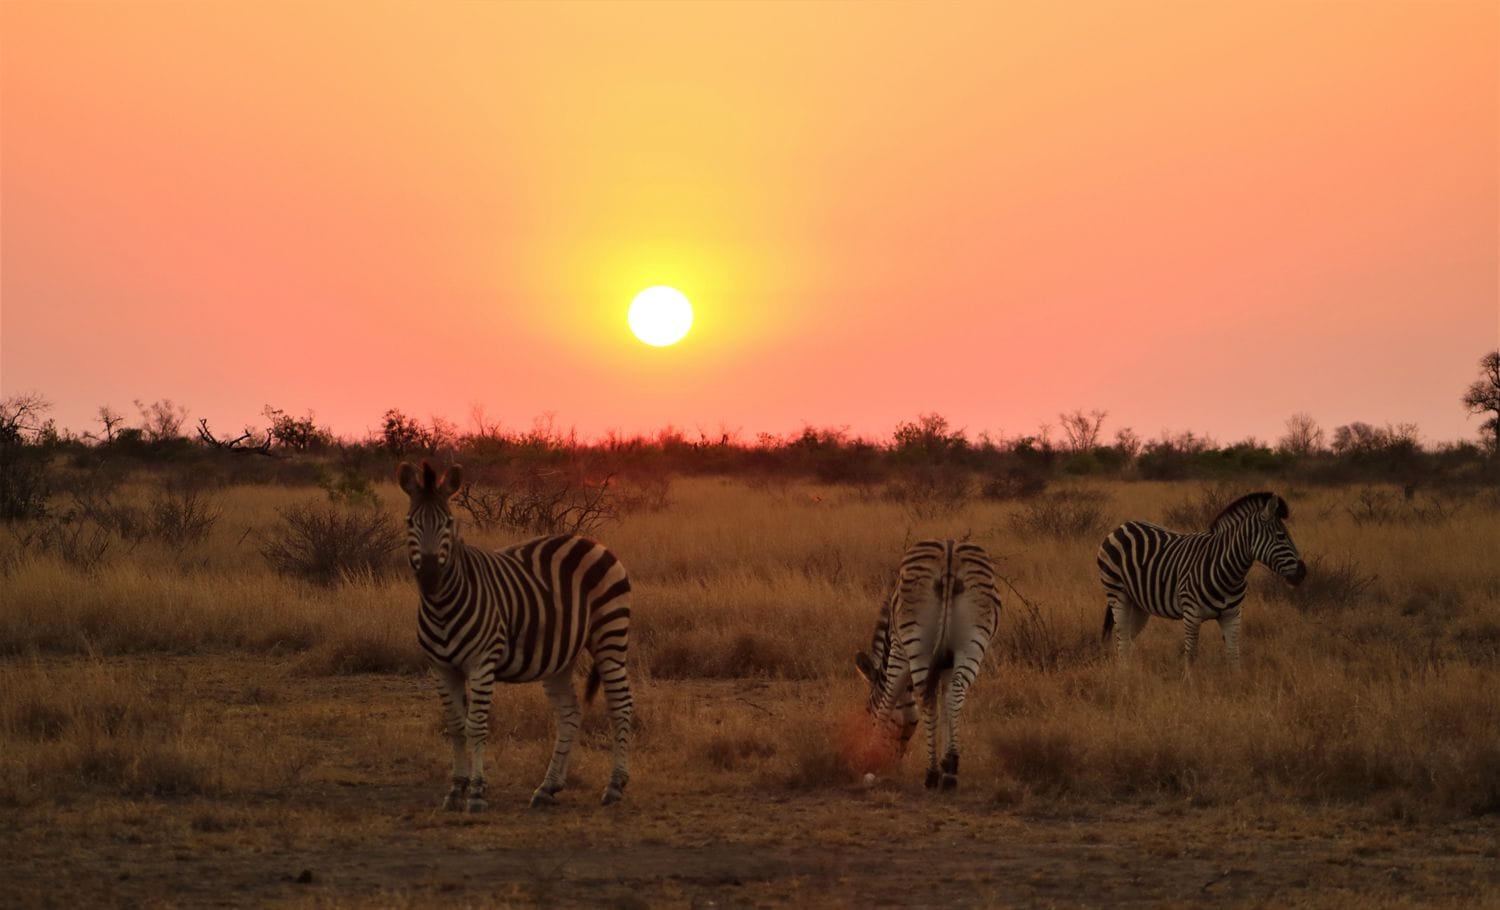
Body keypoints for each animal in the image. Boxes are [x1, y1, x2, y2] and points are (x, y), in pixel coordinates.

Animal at [397, 461, 633, 810]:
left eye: (448, 522)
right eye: (411, 522)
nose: (429, 576)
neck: (441, 606)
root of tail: (591, 541)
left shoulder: (482, 664)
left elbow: (476, 727)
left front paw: (477, 792)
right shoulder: (441, 669)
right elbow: (455, 727)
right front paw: (455, 790)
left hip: (610, 637)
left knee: (621, 706)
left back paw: (615, 786)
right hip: (559, 657)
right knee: (569, 714)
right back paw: (548, 787)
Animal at [854, 539, 1001, 790]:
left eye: (867, 712)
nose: (893, 764)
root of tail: (950, 556)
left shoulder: (897, 649)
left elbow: (888, 699)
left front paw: (870, 758)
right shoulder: (946, 662)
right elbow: (946, 703)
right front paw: (946, 760)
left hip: (917, 640)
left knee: (926, 694)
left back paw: (931, 774)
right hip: (973, 640)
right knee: (957, 690)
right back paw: (951, 770)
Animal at [1097, 491, 1307, 666]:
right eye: (1281, 536)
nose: (1303, 572)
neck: (1229, 572)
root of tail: (1123, 526)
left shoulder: (1233, 615)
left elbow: (1234, 655)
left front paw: (1237, 684)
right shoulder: (1192, 614)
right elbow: (1191, 655)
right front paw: (1190, 687)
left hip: (1139, 604)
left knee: (1128, 639)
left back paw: (1132, 672)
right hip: (1117, 593)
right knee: (1122, 638)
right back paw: (1125, 675)